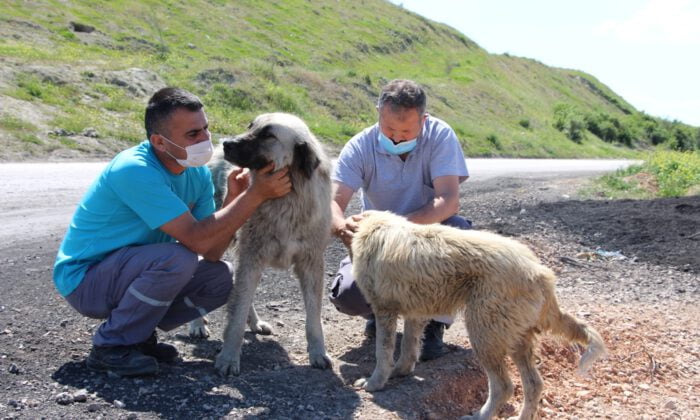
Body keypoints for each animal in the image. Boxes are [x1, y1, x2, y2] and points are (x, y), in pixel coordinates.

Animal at [191, 113, 334, 376]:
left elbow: (314, 317)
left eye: (268, 135)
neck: (287, 200)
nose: (227, 143)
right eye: (251, 126)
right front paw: (229, 357)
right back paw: (197, 324)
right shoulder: (251, 257)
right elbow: (236, 318)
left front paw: (318, 353)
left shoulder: (310, 263)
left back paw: (255, 322)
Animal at [352, 212, 604, 418]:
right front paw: (400, 372)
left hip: (483, 334)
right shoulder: (415, 314)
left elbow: (382, 352)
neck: (372, 225)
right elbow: (408, 347)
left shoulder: (384, 311)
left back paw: (480, 416)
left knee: (504, 387)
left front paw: (375, 382)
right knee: (534, 385)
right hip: (516, 339)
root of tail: (539, 271)